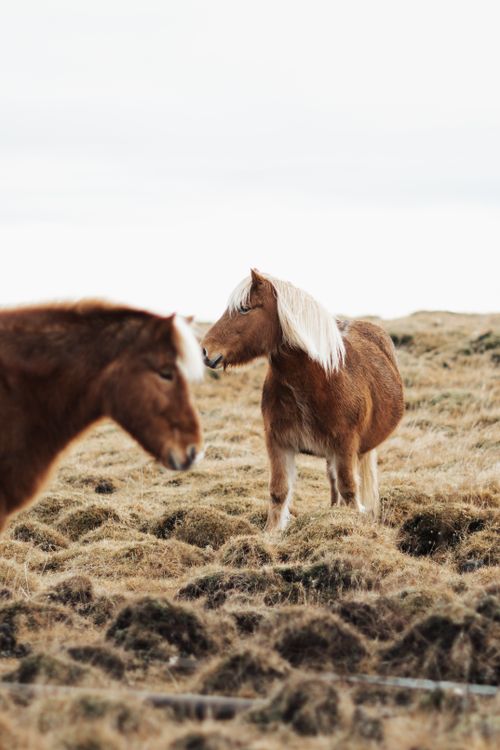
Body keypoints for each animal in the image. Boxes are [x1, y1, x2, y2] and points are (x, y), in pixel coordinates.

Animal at [202, 269, 404, 533]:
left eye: (245, 308)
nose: (205, 351)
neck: (315, 381)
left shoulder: (346, 445)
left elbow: (349, 490)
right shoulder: (278, 443)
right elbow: (279, 491)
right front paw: (271, 534)